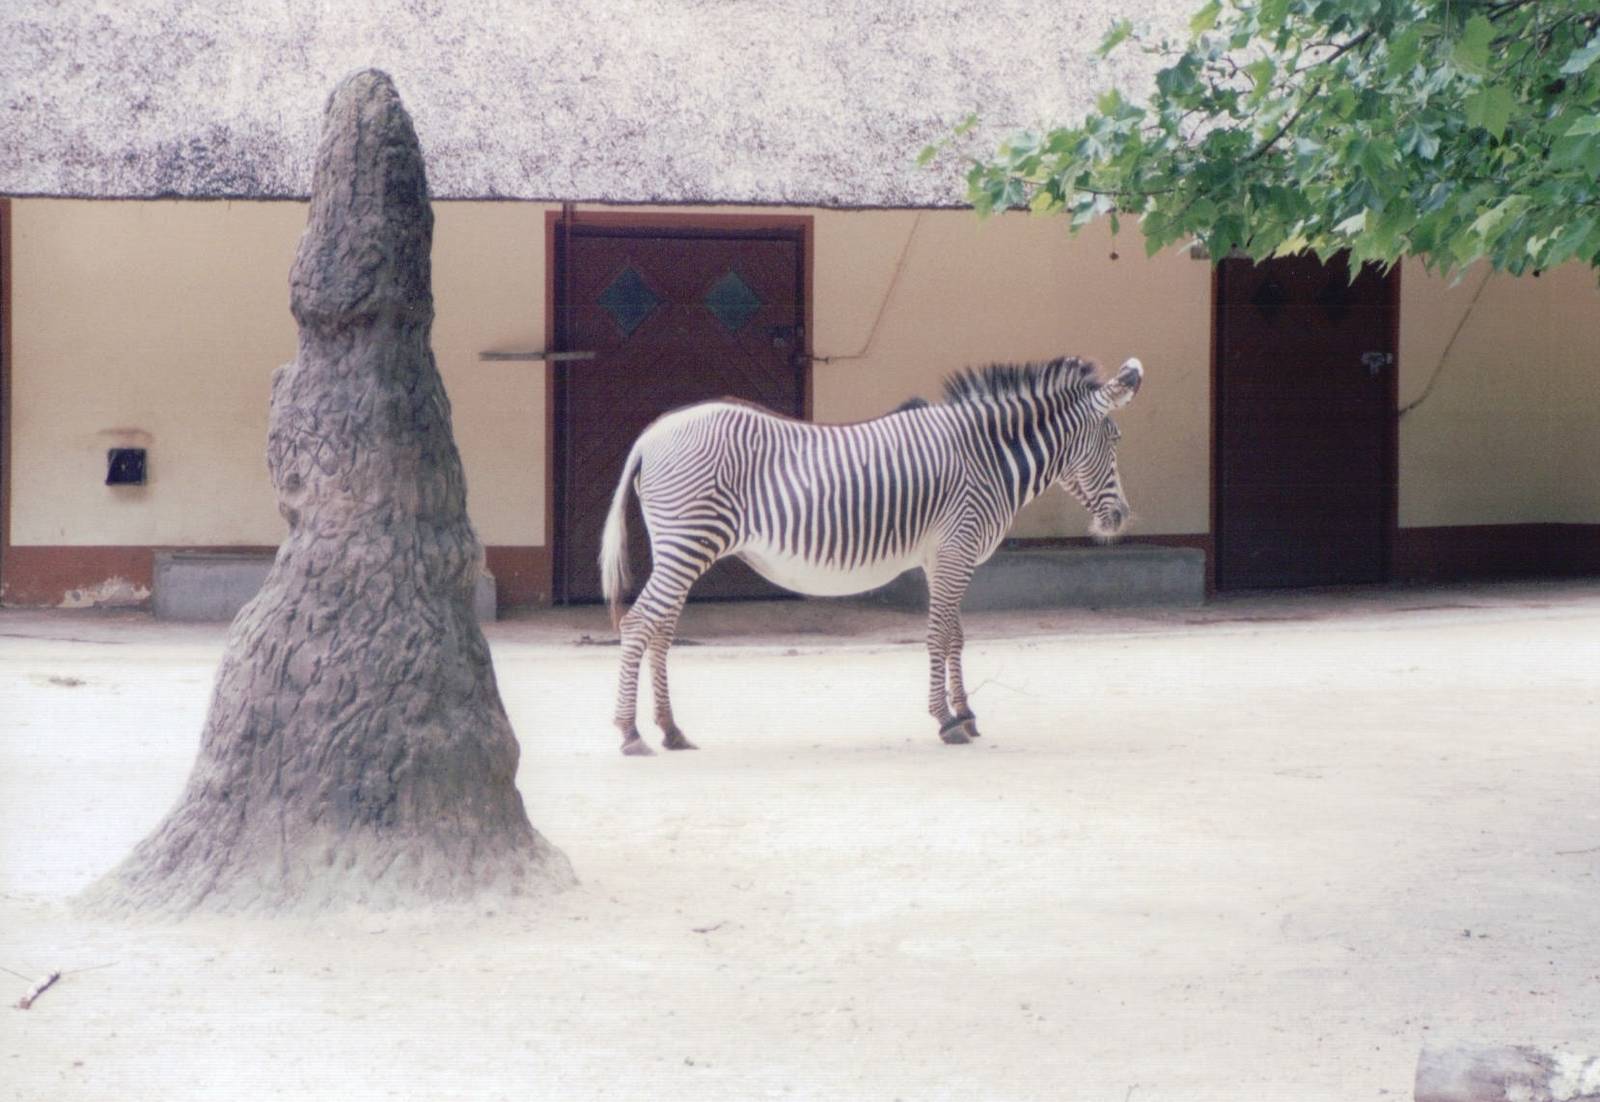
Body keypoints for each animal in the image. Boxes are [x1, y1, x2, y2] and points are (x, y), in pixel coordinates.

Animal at [599, 354, 1144, 755]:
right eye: (1115, 440)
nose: (1120, 518)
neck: (986, 458)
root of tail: (652, 434)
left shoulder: (945, 556)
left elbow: (956, 636)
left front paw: (966, 714)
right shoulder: (956, 548)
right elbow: (937, 634)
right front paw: (946, 721)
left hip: (681, 546)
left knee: (661, 629)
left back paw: (671, 731)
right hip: (688, 541)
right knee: (639, 623)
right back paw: (630, 733)